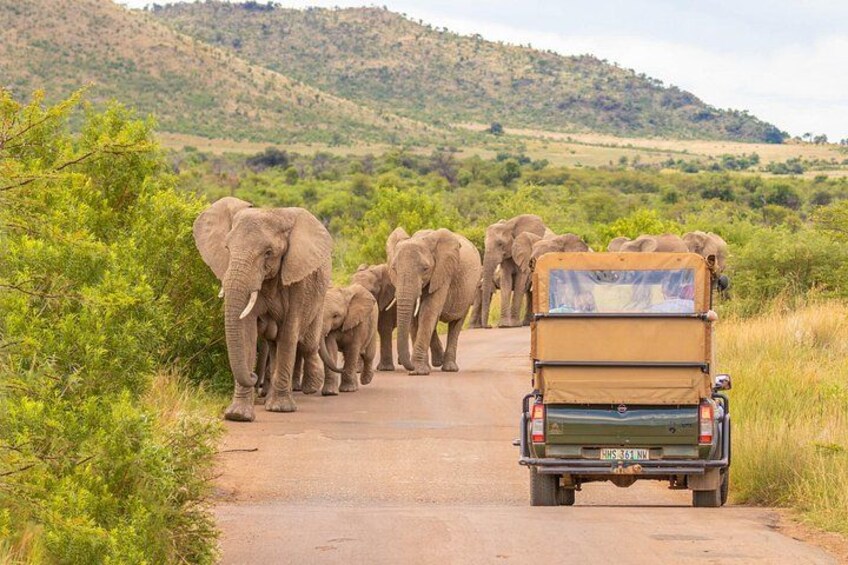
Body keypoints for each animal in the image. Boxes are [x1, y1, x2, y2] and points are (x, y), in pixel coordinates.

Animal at [193, 197, 341, 422]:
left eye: (268, 253)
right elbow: (247, 331)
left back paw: (310, 387)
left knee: (307, 344)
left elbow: (289, 333)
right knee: (274, 343)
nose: (254, 376)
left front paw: (280, 409)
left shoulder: (298, 280)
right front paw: (238, 415)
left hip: (320, 296)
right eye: (227, 248)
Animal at [387, 227, 482, 375]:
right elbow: (415, 318)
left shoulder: (442, 273)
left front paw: (418, 371)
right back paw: (438, 361)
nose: (406, 365)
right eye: (394, 269)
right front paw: (420, 370)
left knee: (456, 323)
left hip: (471, 289)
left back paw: (449, 368)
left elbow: (428, 311)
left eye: (425, 269)